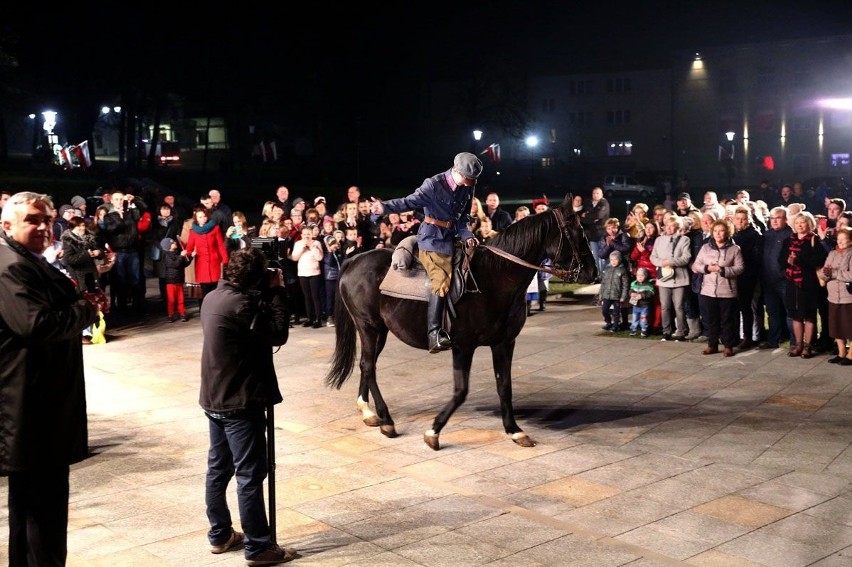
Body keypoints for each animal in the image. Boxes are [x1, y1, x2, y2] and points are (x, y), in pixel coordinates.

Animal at [322, 193, 596, 450]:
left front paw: (515, 430)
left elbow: (504, 386)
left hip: (380, 330)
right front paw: (433, 432)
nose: (592, 272)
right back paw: (386, 420)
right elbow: (461, 391)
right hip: (368, 326)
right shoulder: (463, 346)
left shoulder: (504, 343)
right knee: (369, 366)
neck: (496, 277)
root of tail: (354, 260)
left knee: (367, 364)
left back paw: (368, 411)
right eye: (577, 231)